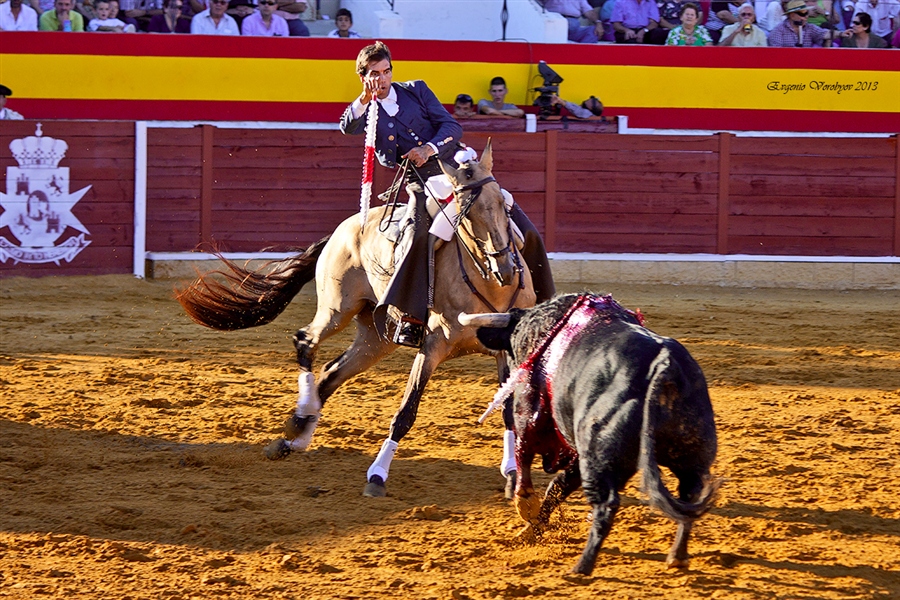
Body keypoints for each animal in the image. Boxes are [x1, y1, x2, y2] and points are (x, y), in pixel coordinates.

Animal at [179, 142, 536, 496]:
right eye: (465, 213)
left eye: (502, 206)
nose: (504, 268)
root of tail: (346, 227)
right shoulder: (433, 346)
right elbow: (406, 412)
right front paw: (377, 475)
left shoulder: (506, 352)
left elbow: (508, 412)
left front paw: (512, 474)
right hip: (336, 310)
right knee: (305, 342)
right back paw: (298, 423)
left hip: (376, 338)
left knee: (330, 373)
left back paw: (294, 438)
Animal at [472, 292, 716, 576]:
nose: (508, 373)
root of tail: (664, 364)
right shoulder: (579, 454)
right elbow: (558, 486)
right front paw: (532, 531)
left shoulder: (529, 415)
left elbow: (525, 459)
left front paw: (526, 509)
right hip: (690, 457)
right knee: (690, 498)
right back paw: (677, 556)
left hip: (596, 450)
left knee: (606, 505)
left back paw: (582, 566)